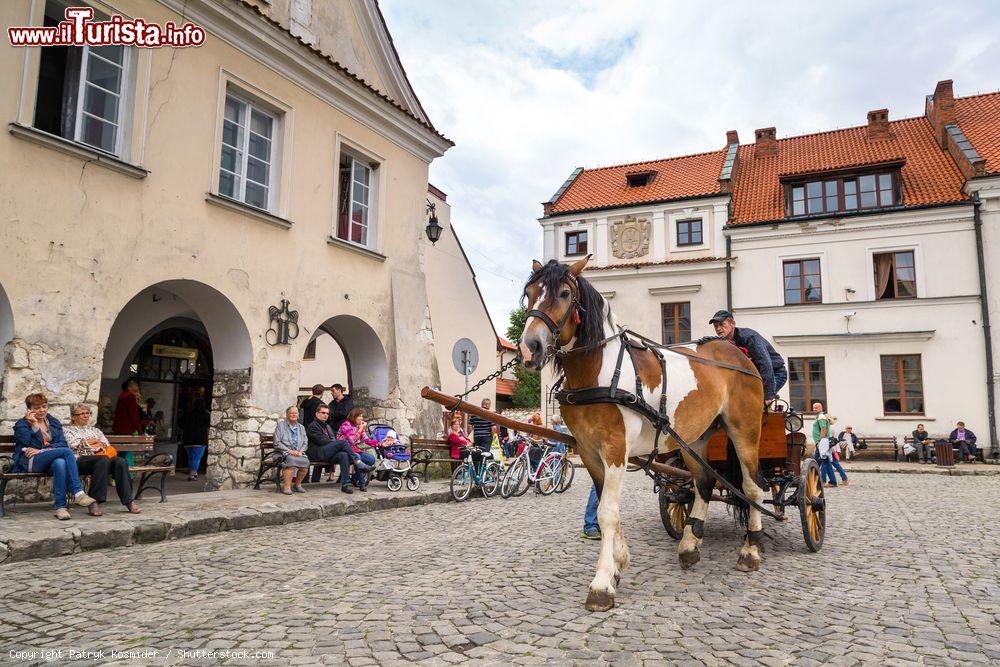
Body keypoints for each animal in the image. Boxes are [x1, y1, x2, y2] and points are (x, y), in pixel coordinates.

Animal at [516, 258, 764, 612]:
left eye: (564, 293)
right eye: (529, 293)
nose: (530, 347)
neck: (600, 370)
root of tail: (738, 355)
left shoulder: (615, 448)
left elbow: (607, 512)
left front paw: (602, 583)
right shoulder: (589, 451)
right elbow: (607, 507)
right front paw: (619, 562)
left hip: (745, 430)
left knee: (752, 487)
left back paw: (750, 551)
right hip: (694, 438)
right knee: (704, 483)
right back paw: (690, 546)